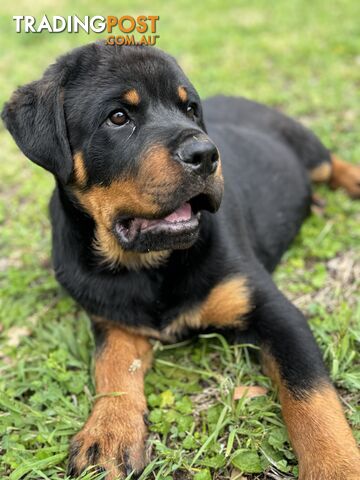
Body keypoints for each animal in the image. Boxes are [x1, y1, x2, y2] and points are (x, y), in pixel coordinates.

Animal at [2, 42, 360, 480]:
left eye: (191, 109)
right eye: (118, 117)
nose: (205, 154)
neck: (147, 264)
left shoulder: (275, 311)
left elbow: (310, 395)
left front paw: (337, 465)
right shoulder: (113, 320)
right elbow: (112, 365)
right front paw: (110, 430)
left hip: (309, 151)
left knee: (332, 163)